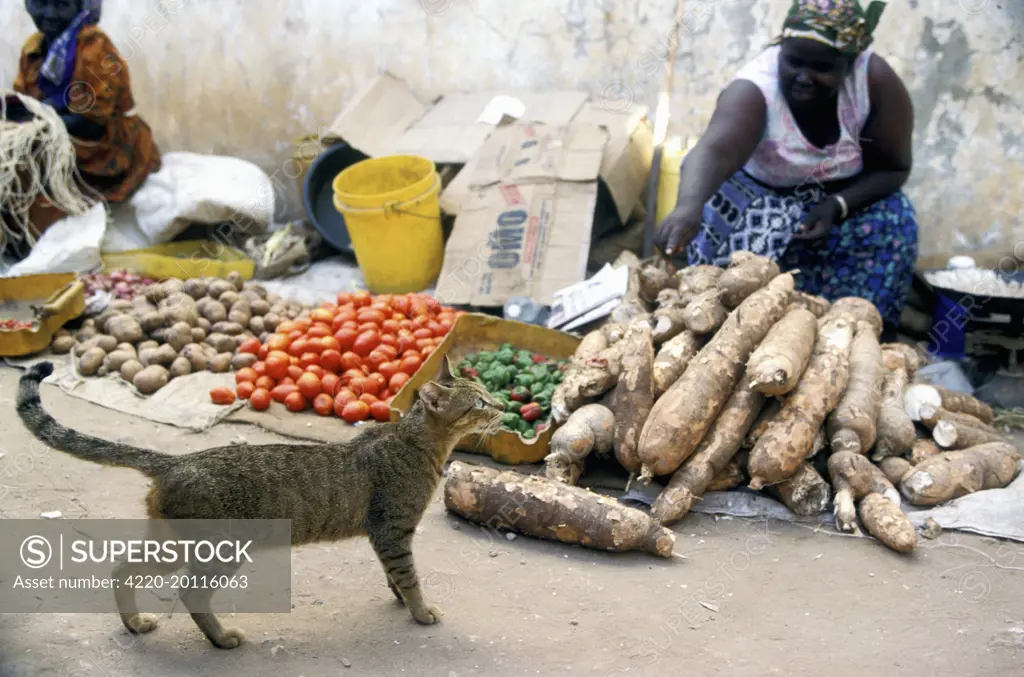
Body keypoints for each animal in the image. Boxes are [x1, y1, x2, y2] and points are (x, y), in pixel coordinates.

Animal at [16, 358, 503, 651]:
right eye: (479, 402)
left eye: (487, 392)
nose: (501, 405)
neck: (416, 442)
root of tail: (174, 461)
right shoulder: (393, 530)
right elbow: (411, 577)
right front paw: (420, 611)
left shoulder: (383, 534)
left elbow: (395, 576)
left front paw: (401, 599)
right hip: (216, 550)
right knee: (190, 593)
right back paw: (220, 639)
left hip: (169, 543)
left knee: (121, 569)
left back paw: (133, 624)